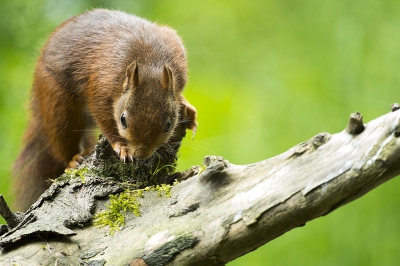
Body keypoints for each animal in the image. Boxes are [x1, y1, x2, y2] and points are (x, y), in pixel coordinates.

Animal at [13, 8, 198, 211]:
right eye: (123, 120)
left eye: (168, 125)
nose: (140, 154)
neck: (149, 63)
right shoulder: (100, 85)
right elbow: (104, 118)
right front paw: (121, 146)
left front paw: (185, 104)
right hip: (57, 105)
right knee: (61, 140)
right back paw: (72, 159)